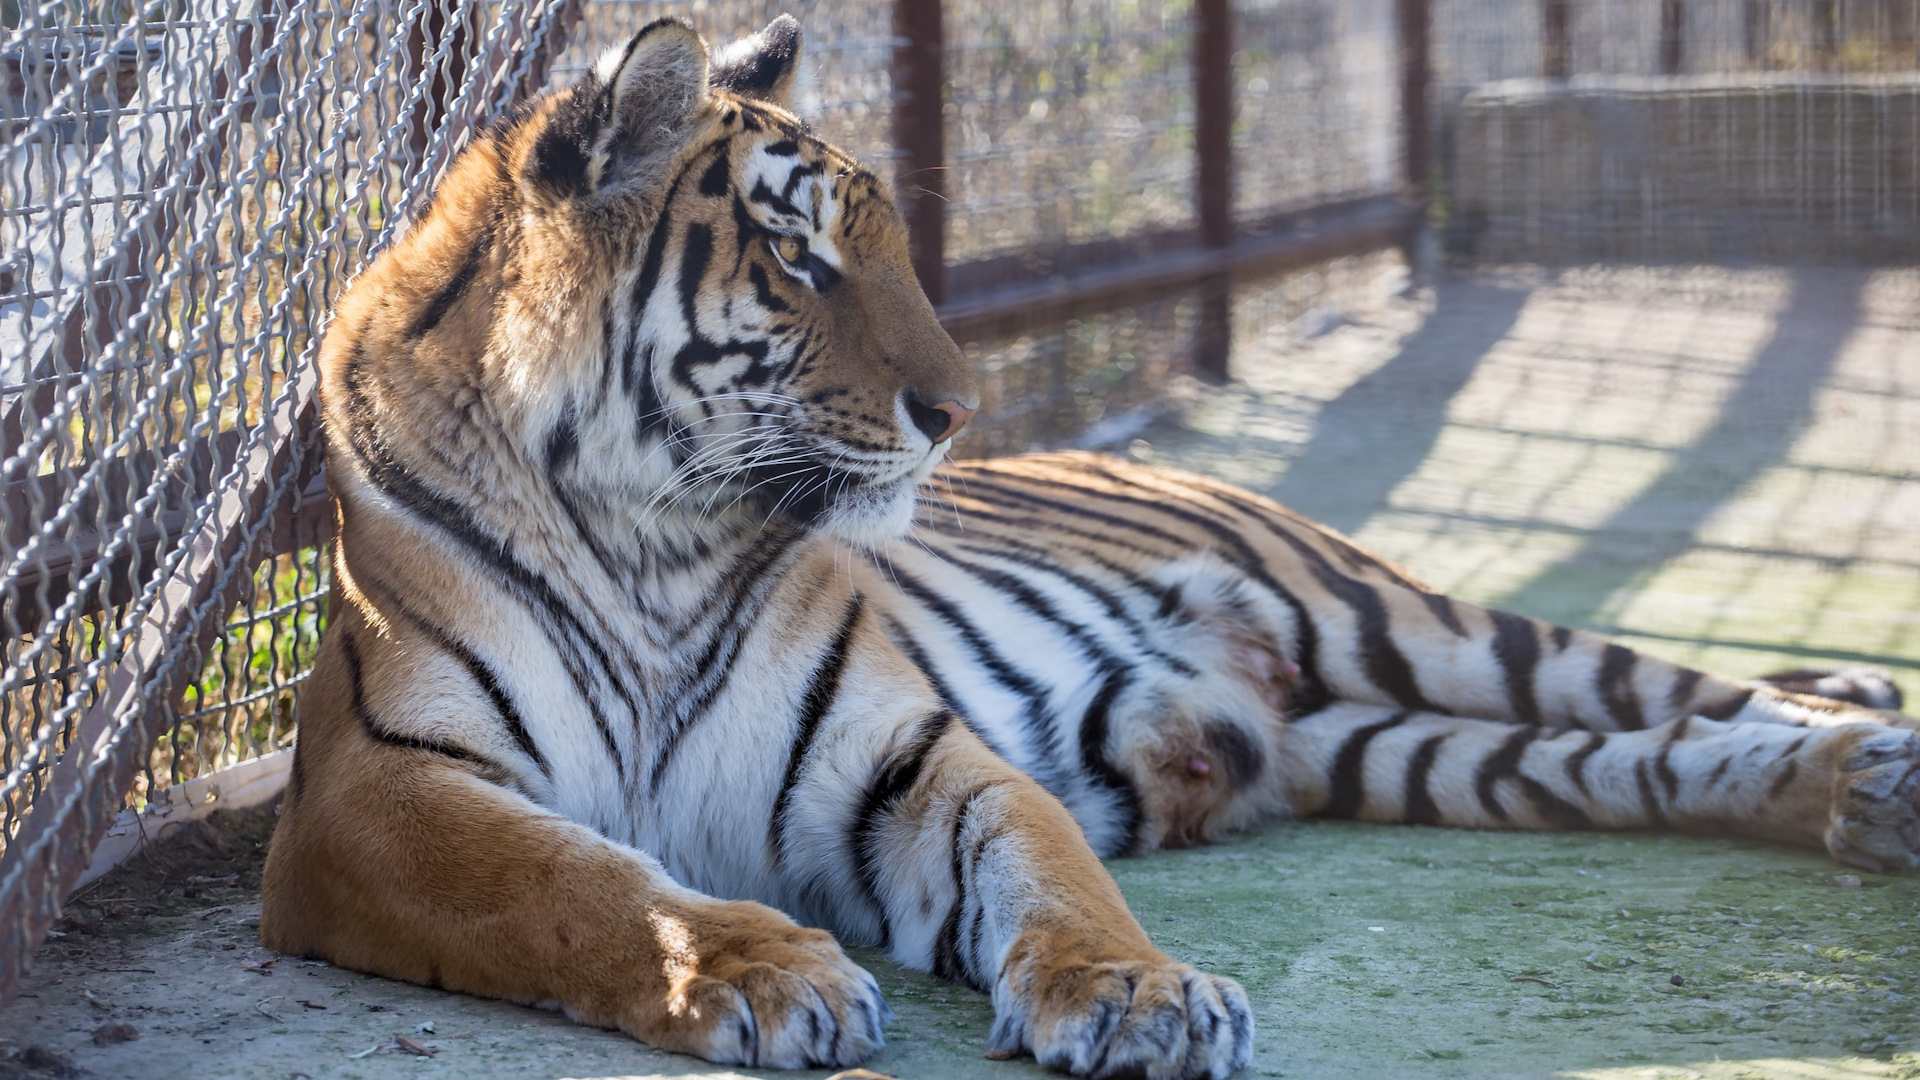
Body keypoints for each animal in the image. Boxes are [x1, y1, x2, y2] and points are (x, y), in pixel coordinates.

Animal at [259, 16, 1920, 1076]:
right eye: (799, 259)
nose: (957, 409)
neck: (650, 537)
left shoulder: (907, 755)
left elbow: (1050, 867)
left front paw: (1140, 996)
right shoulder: (374, 795)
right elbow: (583, 885)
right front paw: (759, 969)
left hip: (1399, 621)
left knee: (1686, 695)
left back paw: (1871, 752)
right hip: (1401, 744)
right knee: (1638, 761)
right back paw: (1860, 796)